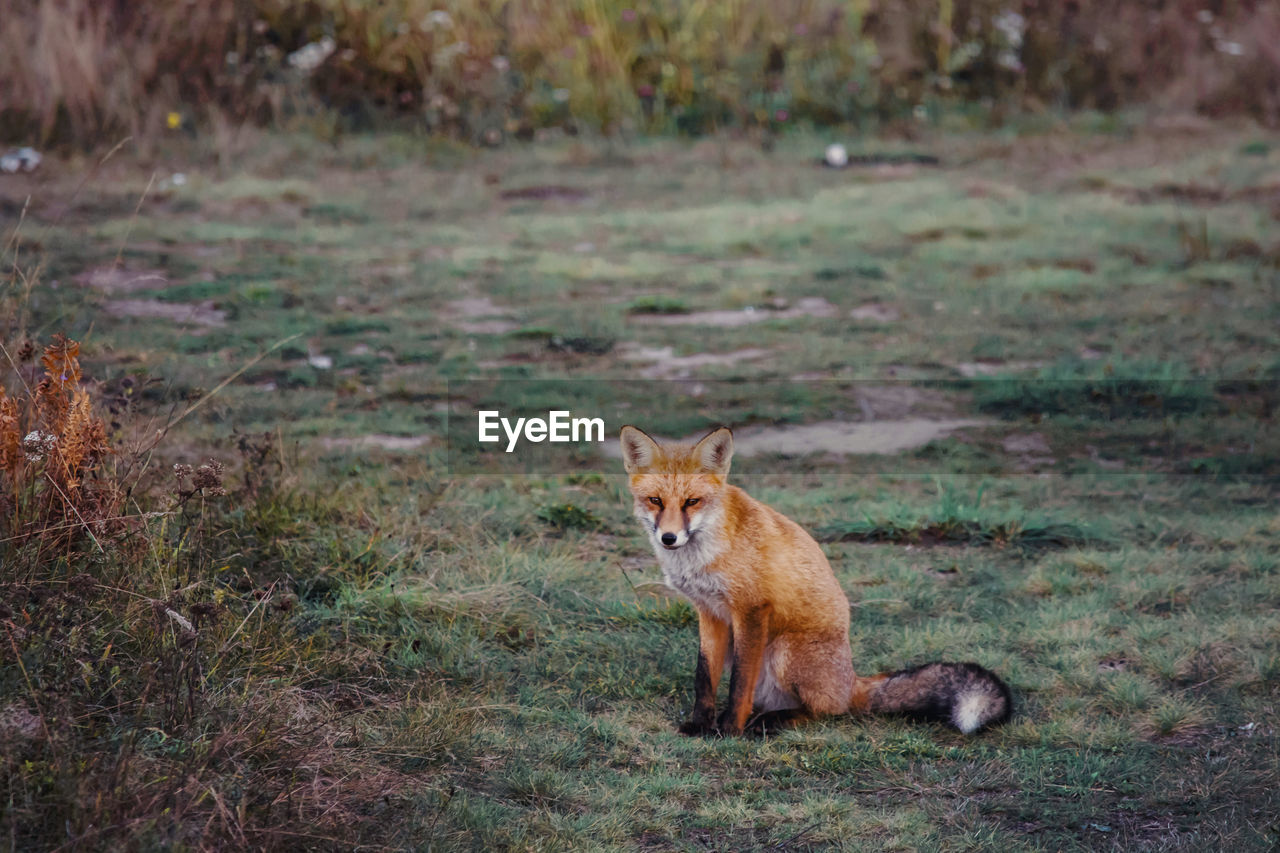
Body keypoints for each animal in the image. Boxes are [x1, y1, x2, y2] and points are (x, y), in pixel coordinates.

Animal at [619, 425, 1008, 737]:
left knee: (827, 711)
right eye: (655, 501)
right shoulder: (710, 613)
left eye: (692, 502)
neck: (704, 555)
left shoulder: (751, 609)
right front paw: (701, 724)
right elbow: (705, 677)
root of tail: (852, 682)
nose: (669, 538)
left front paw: (728, 730)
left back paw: (769, 723)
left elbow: (739, 685)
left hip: (783, 650)